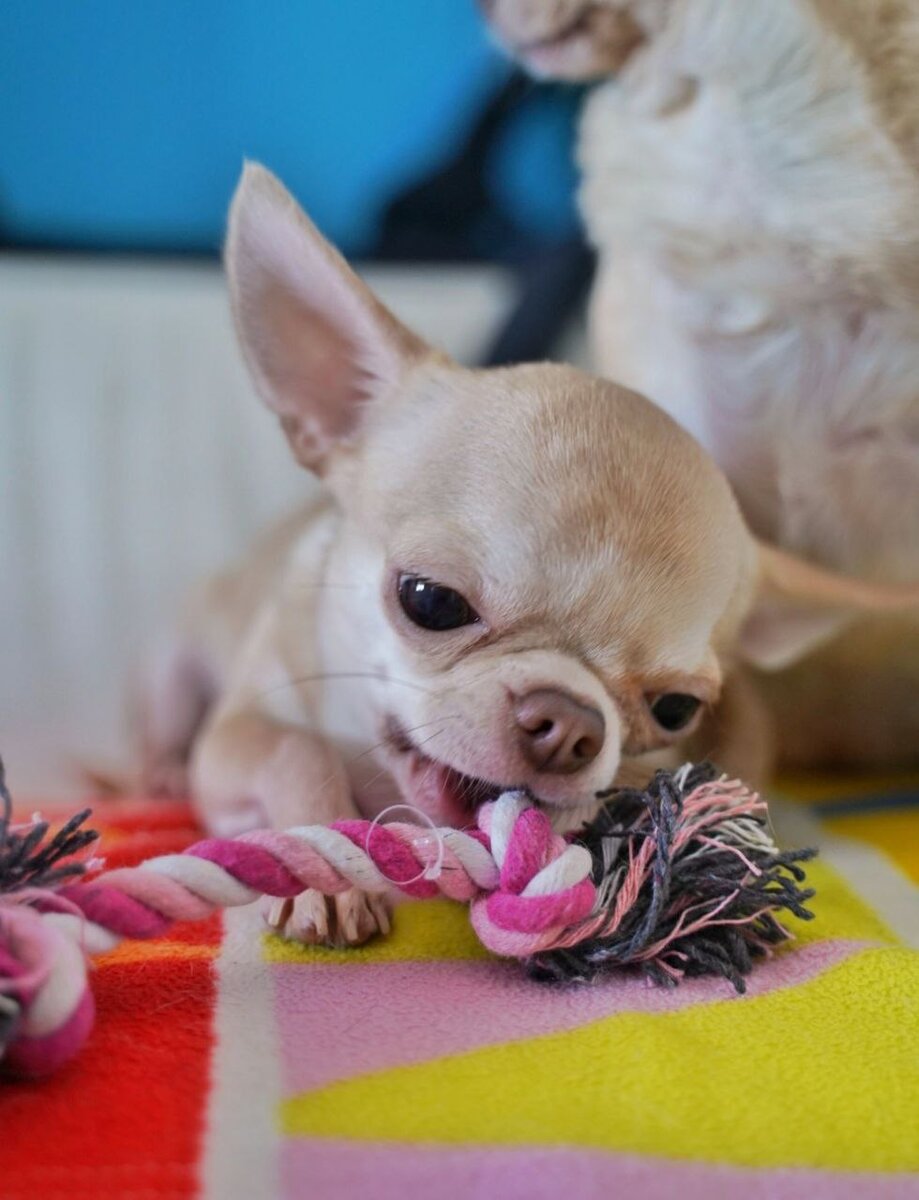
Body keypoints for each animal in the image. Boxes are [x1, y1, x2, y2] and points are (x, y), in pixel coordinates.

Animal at [136, 164, 919, 940]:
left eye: (675, 710)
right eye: (430, 600)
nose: (567, 723)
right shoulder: (235, 734)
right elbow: (295, 748)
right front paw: (325, 872)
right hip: (169, 676)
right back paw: (156, 769)